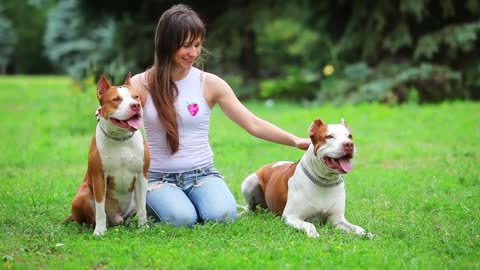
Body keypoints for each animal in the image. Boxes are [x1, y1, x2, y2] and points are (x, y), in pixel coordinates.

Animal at [67, 73, 150, 235]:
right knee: (90, 217)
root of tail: (117, 219)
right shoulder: (99, 177)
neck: (121, 138)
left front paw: (143, 227)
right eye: (116, 99)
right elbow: (100, 208)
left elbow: (142, 207)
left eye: (136, 97)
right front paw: (99, 231)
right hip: (83, 193)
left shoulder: (141, 175)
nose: (135, 105)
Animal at [242, 119, 374, 237]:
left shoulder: (338, 220)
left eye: (350, 136)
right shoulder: (290, 216)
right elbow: (309, 225)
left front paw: (367, 234)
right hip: (249, 182)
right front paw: (314, 234)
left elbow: (357, 228)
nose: (349, 144)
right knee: (250, 207)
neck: (324, 181)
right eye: (329, 136)